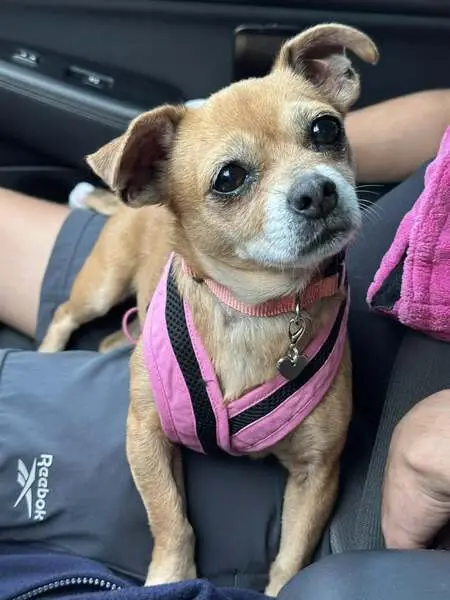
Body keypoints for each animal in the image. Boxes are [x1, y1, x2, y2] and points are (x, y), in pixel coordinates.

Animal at [39, 23, 378, 596]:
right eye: (228, 178)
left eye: (326, 129)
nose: (318, 191)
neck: (256, 307)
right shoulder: (144, 435)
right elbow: (169, 517)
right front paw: (171, 576)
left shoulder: (317, 471)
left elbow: (293, 553)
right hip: (102, 287)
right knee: (65, 313)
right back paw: (46, 354)